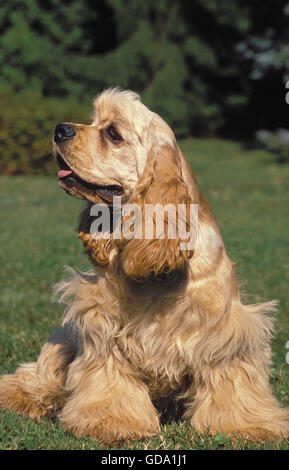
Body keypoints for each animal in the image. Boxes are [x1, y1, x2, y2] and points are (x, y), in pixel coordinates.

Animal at [0, 89, 288, 444]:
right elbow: (109, 379)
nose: (60, 129)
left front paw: (249, 426)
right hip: (64, 339)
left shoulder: (224, 331)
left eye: (113, 133)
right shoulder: (101, 323)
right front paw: (110, 421)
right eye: (93, 120)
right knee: (38, 374)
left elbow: (229, 380)